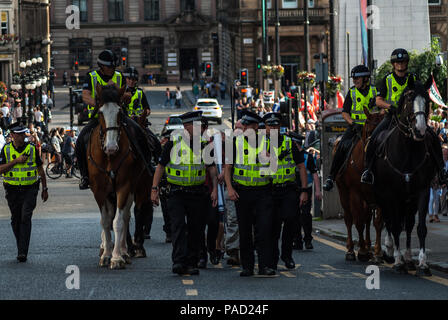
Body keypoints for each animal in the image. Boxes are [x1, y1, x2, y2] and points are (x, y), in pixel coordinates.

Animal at [334, 109, 384, 264]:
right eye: (368, 131)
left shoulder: (378, 195)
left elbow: (377, 222)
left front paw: (377, 253)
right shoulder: (355, 194)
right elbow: (358, 222)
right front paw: (361, 251)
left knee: (367, 218)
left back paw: (368, 248)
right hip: (343, 192)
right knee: (349, 218)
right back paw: (351, 250)